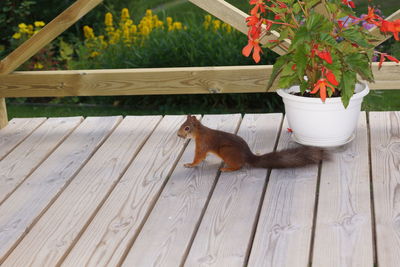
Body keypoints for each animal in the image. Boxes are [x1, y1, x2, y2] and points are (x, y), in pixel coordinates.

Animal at [177, 115, 324, 172]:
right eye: (182, 125)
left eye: (187, 128)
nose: (178, 135)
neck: (199, 132)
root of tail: (248, 156)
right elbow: (203, 157)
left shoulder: (202, 144)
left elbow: (199, 156)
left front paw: (190, 164)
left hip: (226, 151)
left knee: (238, 166)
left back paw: (227, 168)